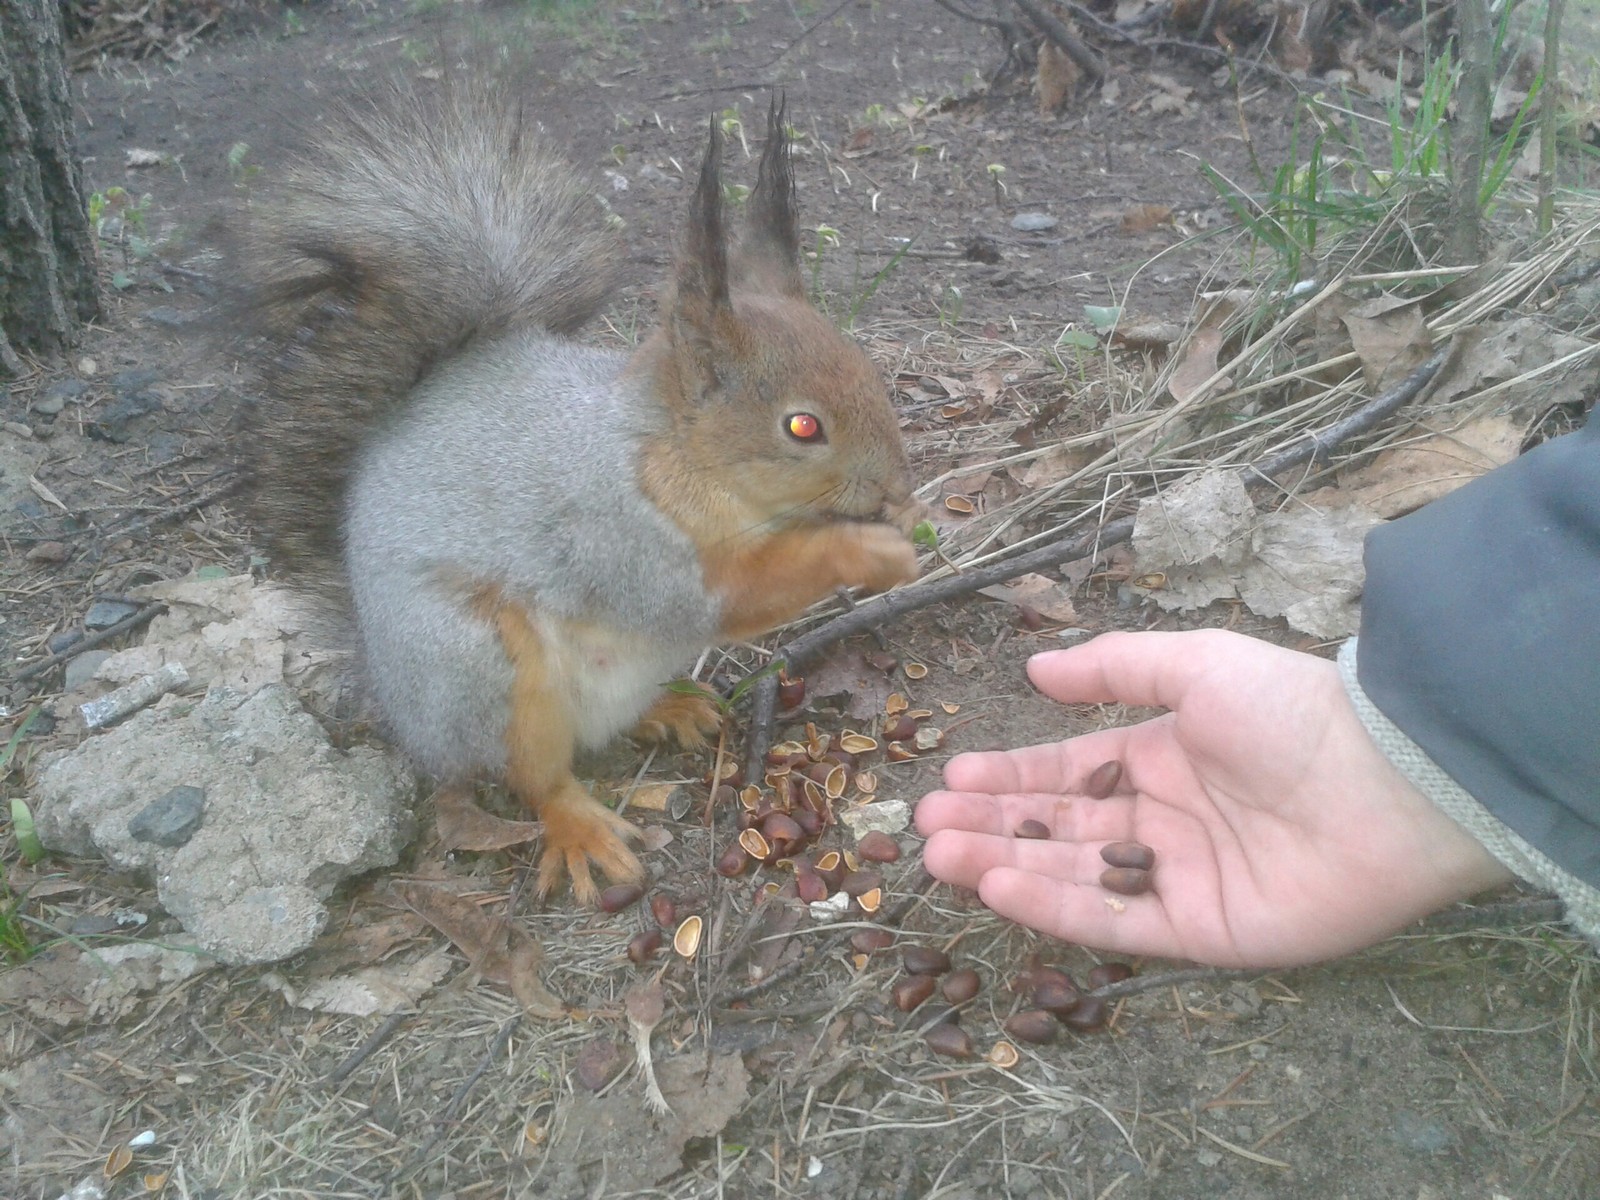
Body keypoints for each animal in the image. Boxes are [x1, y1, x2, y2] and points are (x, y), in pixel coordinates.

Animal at [232, 84, 921, 908]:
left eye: (867, 369)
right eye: (803, 425)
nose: (896, 483)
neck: (673, 456)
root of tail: (396, 703)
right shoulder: (612, 530)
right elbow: (721, 596)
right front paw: (867, 549)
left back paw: (672, 709)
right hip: (484, 673)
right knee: (532, 777)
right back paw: (581, 829)